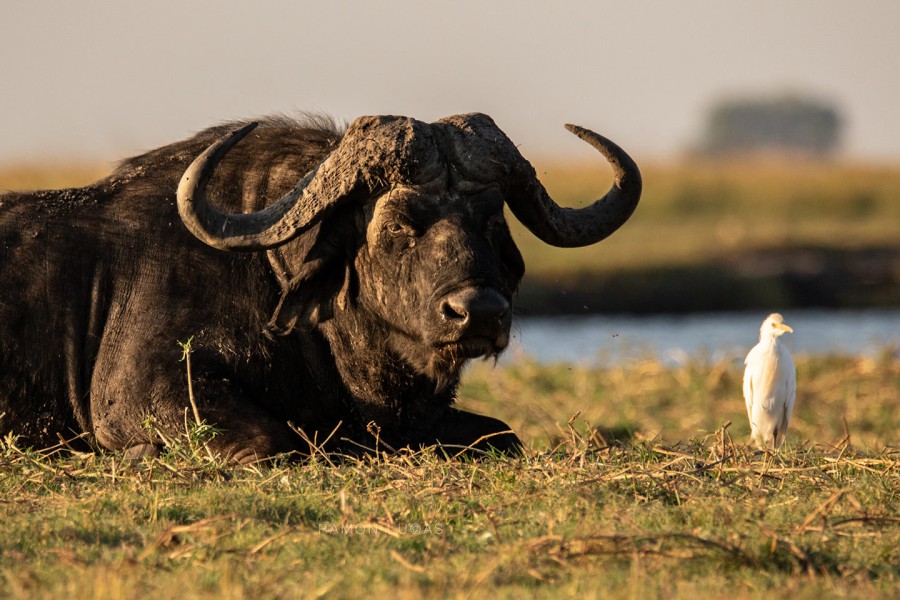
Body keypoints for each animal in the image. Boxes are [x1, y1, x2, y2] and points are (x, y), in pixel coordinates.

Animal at [0, 111, 640, 460]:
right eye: (397, 225)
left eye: (491, 220)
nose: (479, 312)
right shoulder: (143, 386)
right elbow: (270, 442)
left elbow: (504, 435)